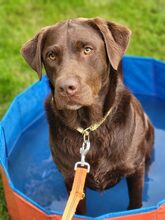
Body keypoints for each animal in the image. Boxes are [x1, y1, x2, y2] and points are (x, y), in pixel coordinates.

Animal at [21, 17, 154, 215]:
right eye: (51, 55)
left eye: (87, 50)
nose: (65, 87)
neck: (88, 127)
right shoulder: (71, 177)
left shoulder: (135, 169)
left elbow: (135, 203)